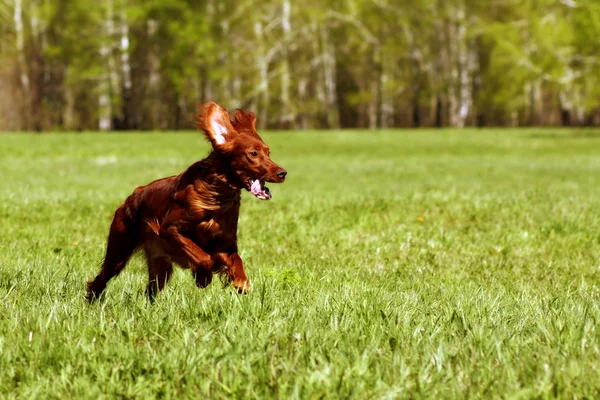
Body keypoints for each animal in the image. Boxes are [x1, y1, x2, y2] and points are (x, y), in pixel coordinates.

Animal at [85, 101, 288, 302]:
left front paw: (241, 282)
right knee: (99, 280)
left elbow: (236, 260)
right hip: (119, 250)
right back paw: (92, 301)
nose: (282, 173)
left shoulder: (224, 242)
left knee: (149, 291)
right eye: (253, 153)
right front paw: (203, 277)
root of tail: (131, 198)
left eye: (268, 152)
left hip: (160, 265)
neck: (215, 196)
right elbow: (203, 256)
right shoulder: (170, 229)